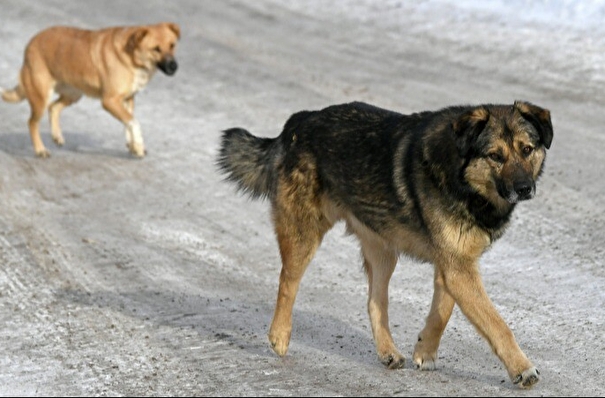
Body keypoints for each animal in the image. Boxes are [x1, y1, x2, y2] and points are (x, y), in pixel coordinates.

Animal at [2, 22, 182, 157]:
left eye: (172, 45)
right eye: (156, 49)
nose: (174, 67)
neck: (131, 56)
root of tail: (30, 43)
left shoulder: (127, 99)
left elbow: (128, 122)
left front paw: (133, 145)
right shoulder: (109, 101)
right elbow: (133, 121)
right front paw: (137, 145)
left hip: (74, 94)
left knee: (54, 107)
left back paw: (57, 136)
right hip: (41, 96)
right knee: (32, 122)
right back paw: (40, 150)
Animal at [217, 100, 552, 388]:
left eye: (527, 149)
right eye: (495, 155)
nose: (525, 188)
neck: (463, 177)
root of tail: (298, 122)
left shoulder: (454, 264)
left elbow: (442, 312)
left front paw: (425, 351)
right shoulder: (457, 269)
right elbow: (497, 324)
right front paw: (522, 369)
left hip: (383, 251)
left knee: (374, 301)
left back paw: (388, 351)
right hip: (304, 234)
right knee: (287, 281)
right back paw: (280, 336)